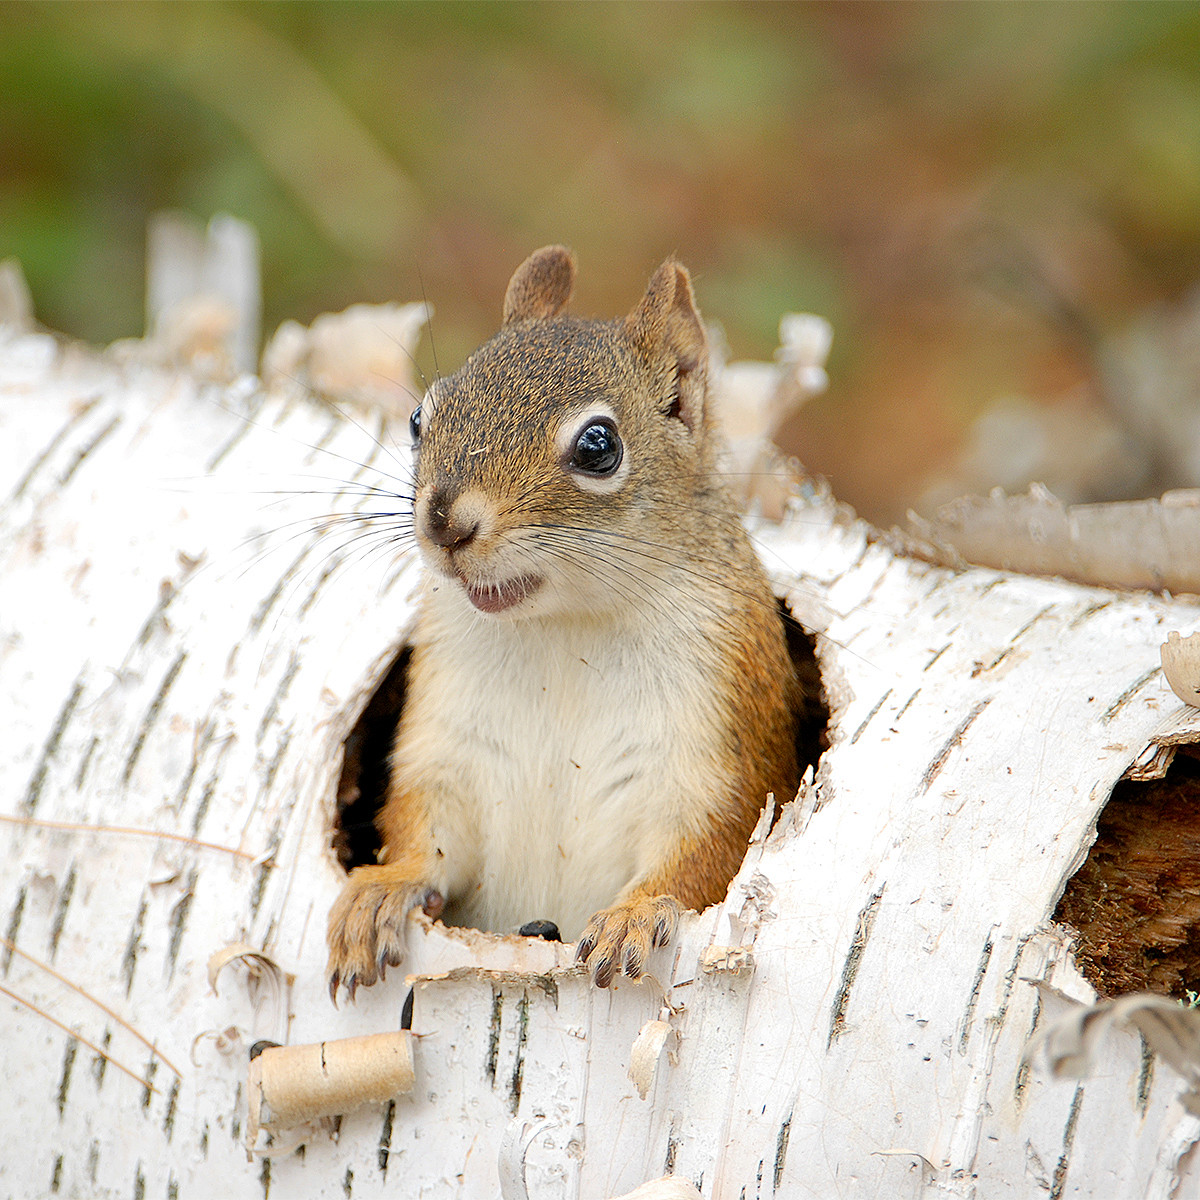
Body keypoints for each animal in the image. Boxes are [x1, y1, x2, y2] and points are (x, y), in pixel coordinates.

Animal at [324, 248, 801, 998]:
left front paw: (635, 915)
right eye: (419, 418)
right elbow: (423, 828)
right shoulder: (449, 743)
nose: (443, 521)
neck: (564, 628)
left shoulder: (716, 751)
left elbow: (704, 852)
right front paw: (381, 889)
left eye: (599, 445)